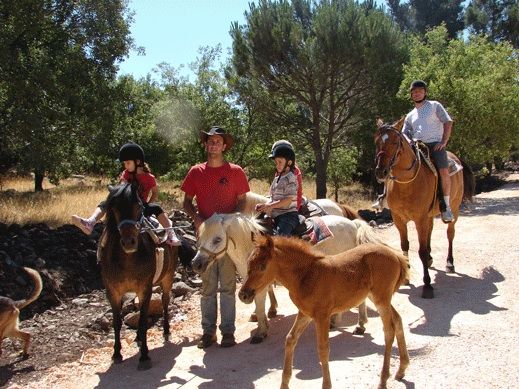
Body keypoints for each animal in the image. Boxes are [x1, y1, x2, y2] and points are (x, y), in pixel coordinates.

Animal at [99, 180, 179, 368]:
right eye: (114, 208)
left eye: (138, 206)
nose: (129, 242)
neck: (127, 260)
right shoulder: (112, 292)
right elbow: (117, 322)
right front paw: (116, 354)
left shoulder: (146, 288)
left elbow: (143, 320)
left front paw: (144, 356)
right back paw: (138, 338)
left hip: (167, 278)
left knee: (164, 302)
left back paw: (165, 331)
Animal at [191, 212, 378, 342]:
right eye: (200, 237)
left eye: (217, 239)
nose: (196, 264)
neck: (250, 246)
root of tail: (352, 224)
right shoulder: (252, 281)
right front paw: (264, 321)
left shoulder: (260, 284)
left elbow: (260, 304)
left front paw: (261, 332)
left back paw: (356, 325)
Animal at [240, 233, 410, 388]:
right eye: (248, 264)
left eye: (262, 266)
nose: (243, 295)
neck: (306, 276)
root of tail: (396, 255)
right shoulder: (305, 313)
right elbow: (290, 339)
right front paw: (284, 384)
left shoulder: (322, 316)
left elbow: (323, 349)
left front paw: (326, 385)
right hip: (379, 298)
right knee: (398, 320)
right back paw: (402, 369)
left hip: (381, 299)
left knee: (389, 330)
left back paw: (383, 380)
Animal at [374, 117, 476, 298]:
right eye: (377, 141)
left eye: (395, 142)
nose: (381, 171)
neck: (406, 184)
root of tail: (455, 157)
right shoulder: (398, 218)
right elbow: (405, 245)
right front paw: (406, 277)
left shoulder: (419, 218)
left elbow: (420, 250)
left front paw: (427, 285)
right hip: (429, 215)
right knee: (430, 231)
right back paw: (429, 259)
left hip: (454, 209)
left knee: (450, 234)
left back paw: (449, 263)